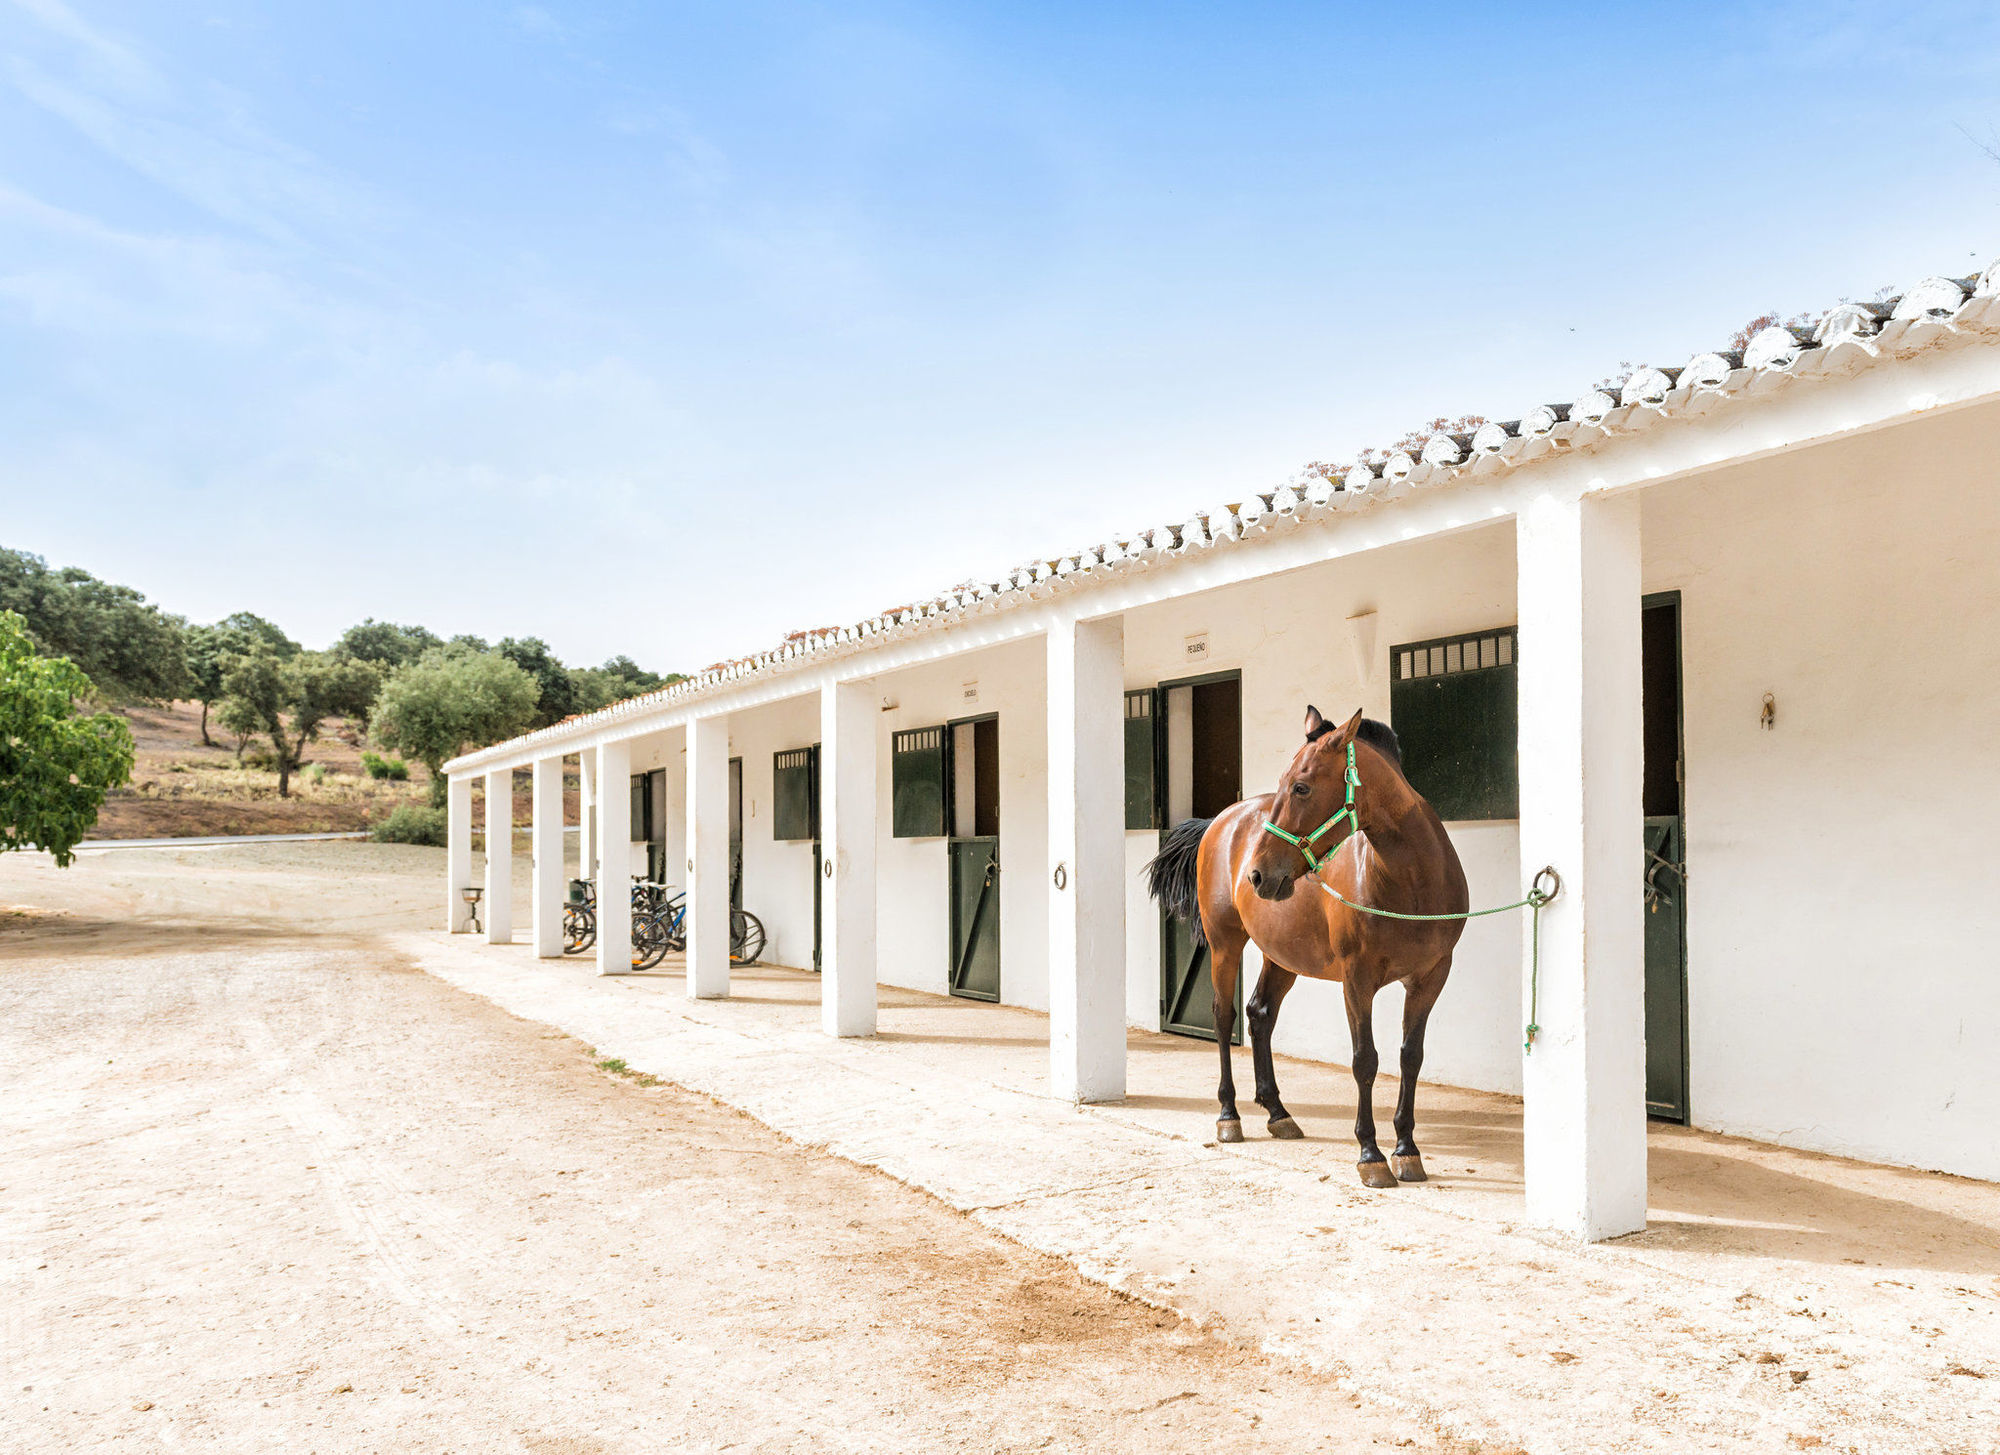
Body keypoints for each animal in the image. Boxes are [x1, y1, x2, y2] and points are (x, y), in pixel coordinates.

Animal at [1152, 699, 1464, 1191]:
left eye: (1301, 787)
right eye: (1284, 784)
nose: (1258, 874)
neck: (1411, 883)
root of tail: (1222, 819)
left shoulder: (1431, 977)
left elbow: (1410, 1057)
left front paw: (1406, 1150)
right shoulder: (1357, 981)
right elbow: (1365, 1061)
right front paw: (1371, 1154)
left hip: (1282, 956)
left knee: (1259, 1014)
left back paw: (1278, 1113)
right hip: (1225, 945)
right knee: (1224, 1018)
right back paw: (1229, 1115)